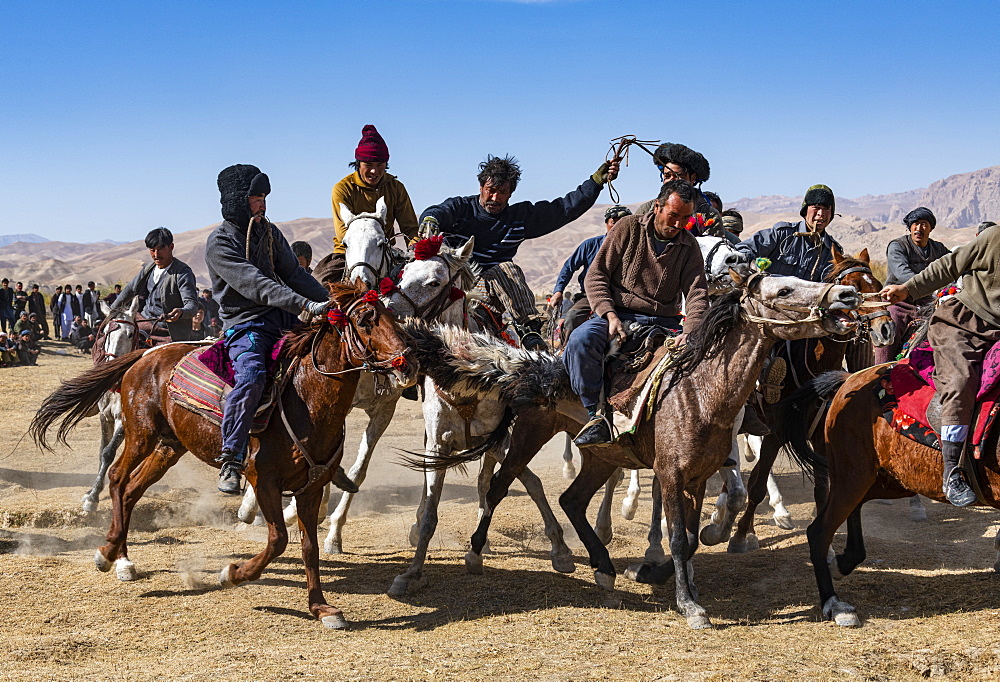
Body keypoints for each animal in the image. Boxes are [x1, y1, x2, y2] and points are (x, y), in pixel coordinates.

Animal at [29, 282, 416, 628]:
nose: (409, 363)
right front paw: (232, 573)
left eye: (392, 315)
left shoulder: (311, 487)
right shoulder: (264, 481)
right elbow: (278, 540)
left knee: (132, 489)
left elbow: (309, 547)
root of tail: (146, 355)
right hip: (140, 434)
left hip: (169, 447)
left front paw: (321, 607)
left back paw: (120, 555)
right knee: (117, 478)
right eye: (365, 319)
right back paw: (110, 554)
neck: (305, 398)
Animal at [398, 268, 860, 624]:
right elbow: (678, 538)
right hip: (529, 439)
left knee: (571, 500)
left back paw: (603, 568)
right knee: (499, 488)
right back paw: (477, 555)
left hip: (601, 456)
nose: (846, 295)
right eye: (783, 291)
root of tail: (543, 367)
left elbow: (690, 537)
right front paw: (690, 606)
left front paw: (662, 578)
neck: (701, 391)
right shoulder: (672, 474)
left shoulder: (696, 477)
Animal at [724, 250, 896, 552]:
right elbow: (756, 485)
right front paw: (742, 534)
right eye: (853, 287)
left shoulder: (818, 436)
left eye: (876, 284)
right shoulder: (777, 432)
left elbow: (821, 490)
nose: (885, 329)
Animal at [780, 362, 1000, 628]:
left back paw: (846, 561)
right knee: (819, 532)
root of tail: (849, 379)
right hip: (854, 474)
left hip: (890, 479)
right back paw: (834, 604)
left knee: (854, 508)